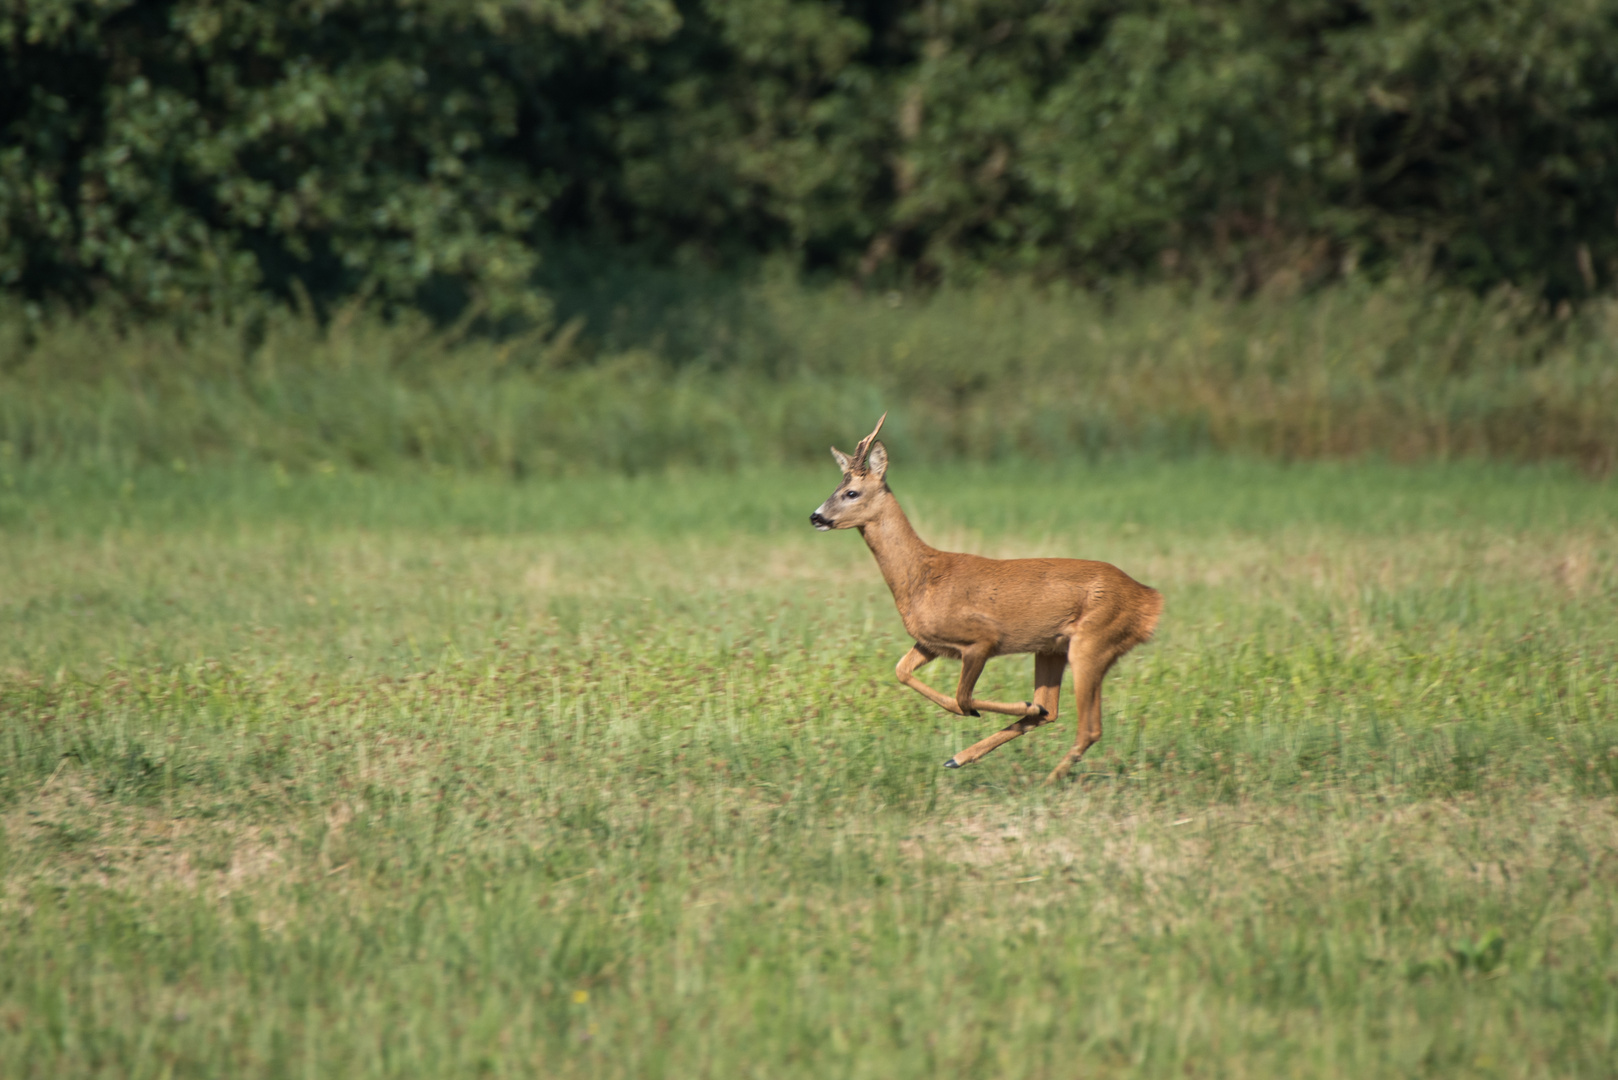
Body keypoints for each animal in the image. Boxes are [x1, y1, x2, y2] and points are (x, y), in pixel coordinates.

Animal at [809, 417, 1164, 786]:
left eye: (851, 492)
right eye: (836, 487)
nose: (816, 517)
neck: (922, 577)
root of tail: (1150, 600)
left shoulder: (982, 638)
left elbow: (961, 697)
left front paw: (1000, 708)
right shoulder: (930, 643)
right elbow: (902, 672)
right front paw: (1016, 710)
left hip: (1093, 641)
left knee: (1089, 727)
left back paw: (1046, 777)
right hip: (1051, 648)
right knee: (1052, 710)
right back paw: (965, 756)